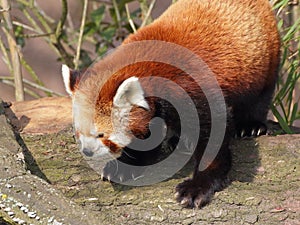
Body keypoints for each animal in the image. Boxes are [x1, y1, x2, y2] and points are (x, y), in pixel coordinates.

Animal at [62, 0, 280, 209]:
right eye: (78, 131)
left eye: (101, 135)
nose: (87, 151)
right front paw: (127, 166)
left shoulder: (190, 87)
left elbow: (213, 132)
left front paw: (197, 187)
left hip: (264, 60)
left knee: (259, 97)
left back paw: (250, 125)